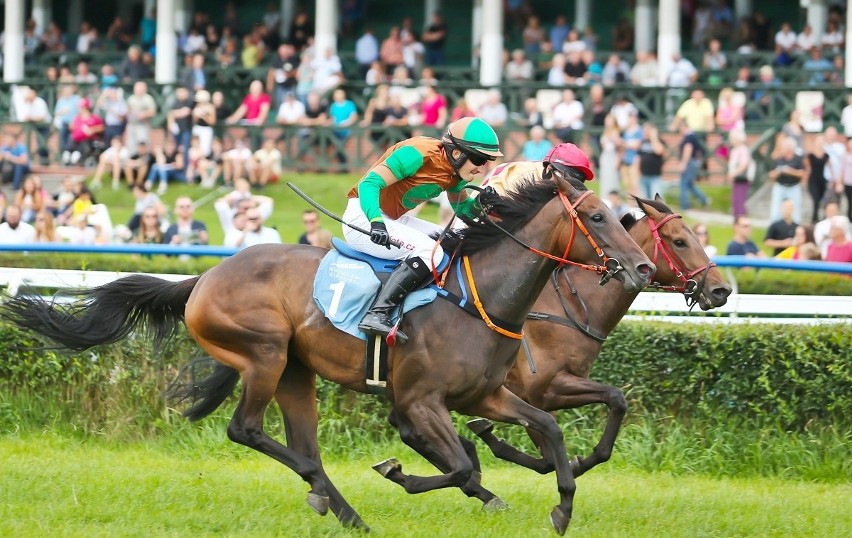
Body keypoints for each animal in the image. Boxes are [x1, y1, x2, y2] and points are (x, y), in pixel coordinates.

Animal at [1, 176, 652, 532]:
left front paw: (561, 508)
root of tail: (203, 278)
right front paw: (402, 473)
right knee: (246, 430)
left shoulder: (487, 395)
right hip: (264, 354)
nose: (642, 268)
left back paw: (343, 509)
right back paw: (329, 493)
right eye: (598, 217)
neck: (478, 299)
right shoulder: (420, 400)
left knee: (300, 444)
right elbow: (463, 466)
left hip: (295, 371)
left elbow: (546, 429)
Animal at [460, 195, 732, 484]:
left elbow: (556, 452)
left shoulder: (541, 394)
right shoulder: (542, 389)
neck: (571, 308)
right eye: (680, 242)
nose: (721, 290)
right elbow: (611, 399)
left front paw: (576, 462)